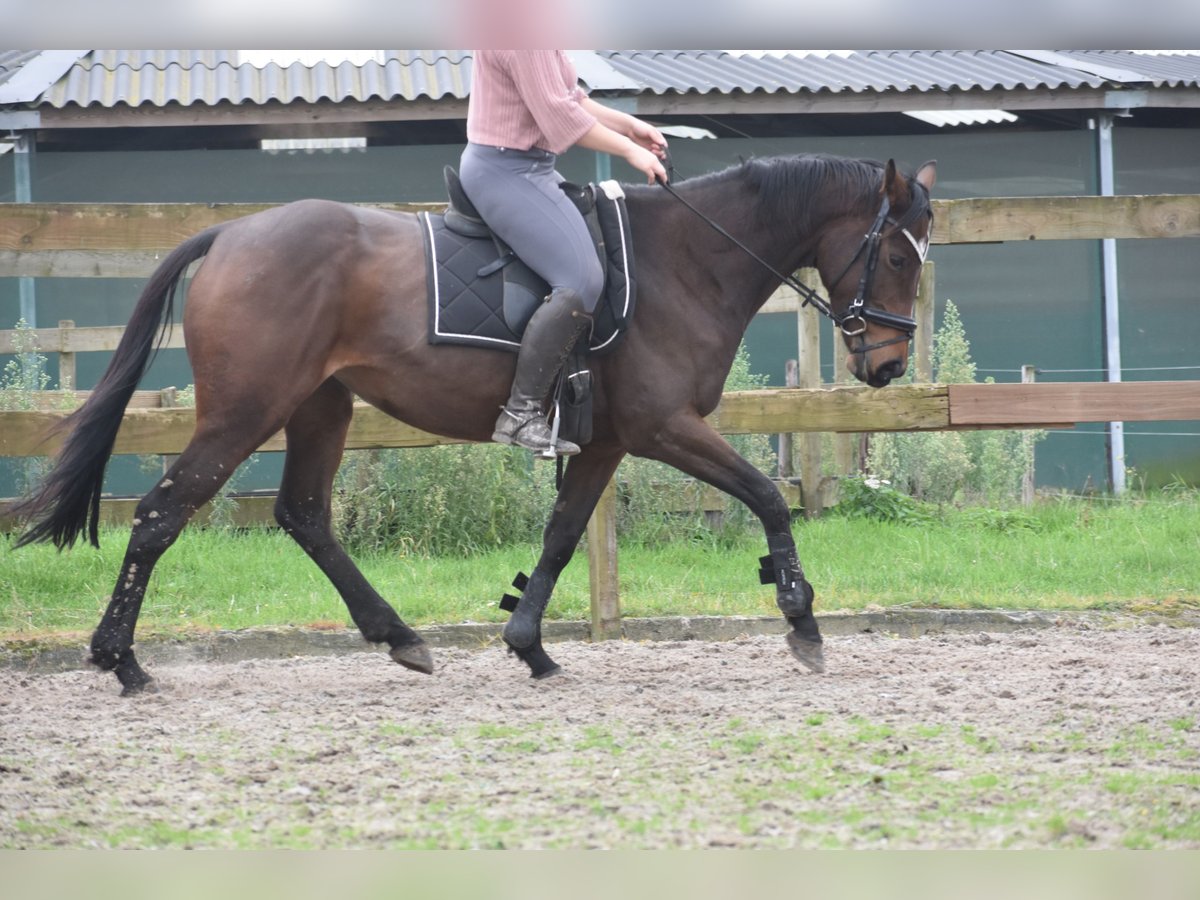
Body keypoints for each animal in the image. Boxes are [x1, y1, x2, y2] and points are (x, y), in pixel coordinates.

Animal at [9, 153, 936, 696]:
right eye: (896, 254)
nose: (889, 366)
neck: (685, 261)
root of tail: (233, 233)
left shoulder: (604, 442)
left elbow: (562, 535)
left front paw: (530, 645)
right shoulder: (662, 427)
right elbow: (768, 499)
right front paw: (802, 621)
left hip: (320, 406)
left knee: (304, 515)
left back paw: (401, 638)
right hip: (246, 410)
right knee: (163, 514)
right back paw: (122, 661)